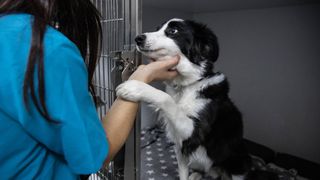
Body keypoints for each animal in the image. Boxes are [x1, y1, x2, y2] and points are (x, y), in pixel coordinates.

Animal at [116, 19, 251, 179]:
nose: (138, 38)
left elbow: (167, 98)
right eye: (157, 29)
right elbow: (182, 173)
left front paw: (135, 87)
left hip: (237, 162)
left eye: (173, 31)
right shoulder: (180, 146)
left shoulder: (194, 132)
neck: (186, 85)